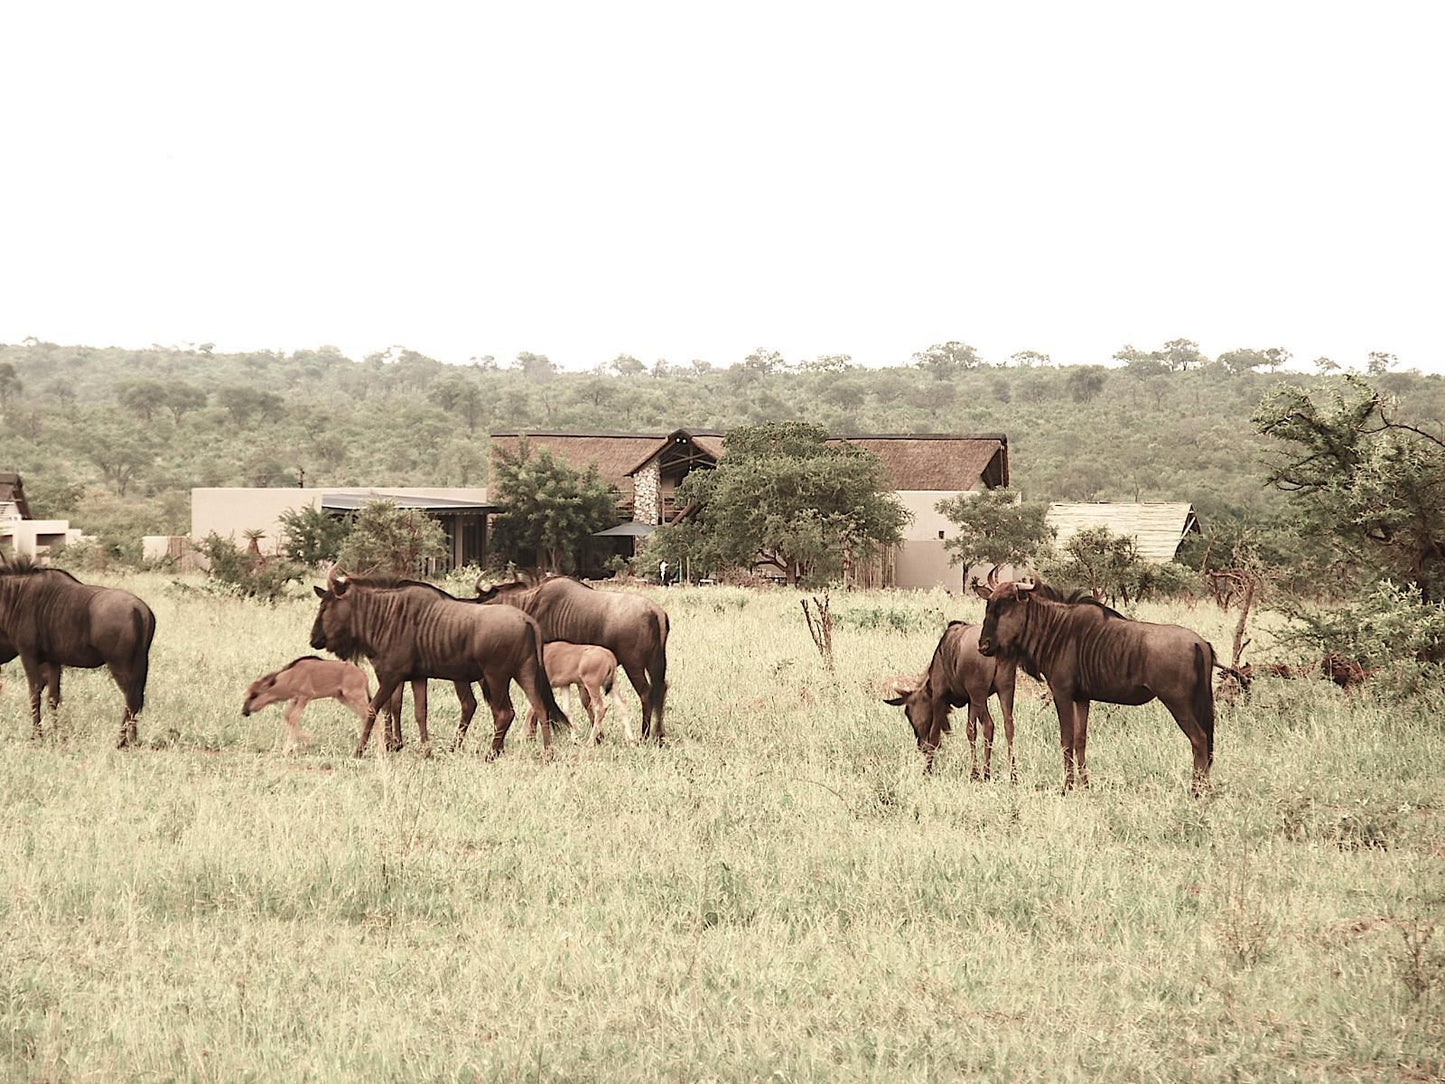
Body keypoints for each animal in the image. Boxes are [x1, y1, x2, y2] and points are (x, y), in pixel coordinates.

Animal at [241, 653, 372, 757]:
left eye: (254, 695)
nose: (244, 711)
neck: (291, 675)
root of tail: (363, 675)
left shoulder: (305, 697)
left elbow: (293, 717)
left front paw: (288, 749)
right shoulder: (296, 699)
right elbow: (287, 716)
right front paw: (305, 741)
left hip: (355, 697)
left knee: (371, 715)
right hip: (344, 699)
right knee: (365, 716)